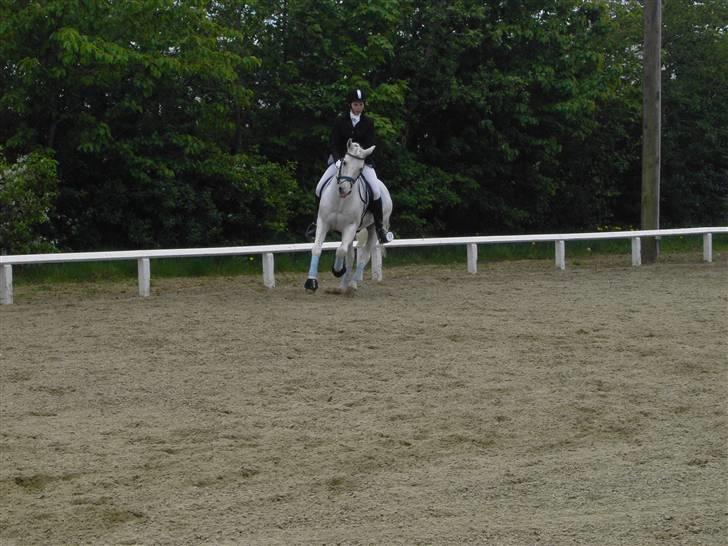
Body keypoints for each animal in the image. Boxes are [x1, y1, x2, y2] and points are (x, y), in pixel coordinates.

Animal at [304, 140, 392, 292]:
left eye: (361, 169)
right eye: (344, 162)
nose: (343, 189)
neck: (341, 200)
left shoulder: (350, 227)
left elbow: (341, 250)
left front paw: (337, 271)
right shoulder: (323, 223)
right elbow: (316, 249)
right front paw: (311, 283)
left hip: (373, 228)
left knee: (365, 255)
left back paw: (352, 283)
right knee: (351, 256)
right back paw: (343, 286)